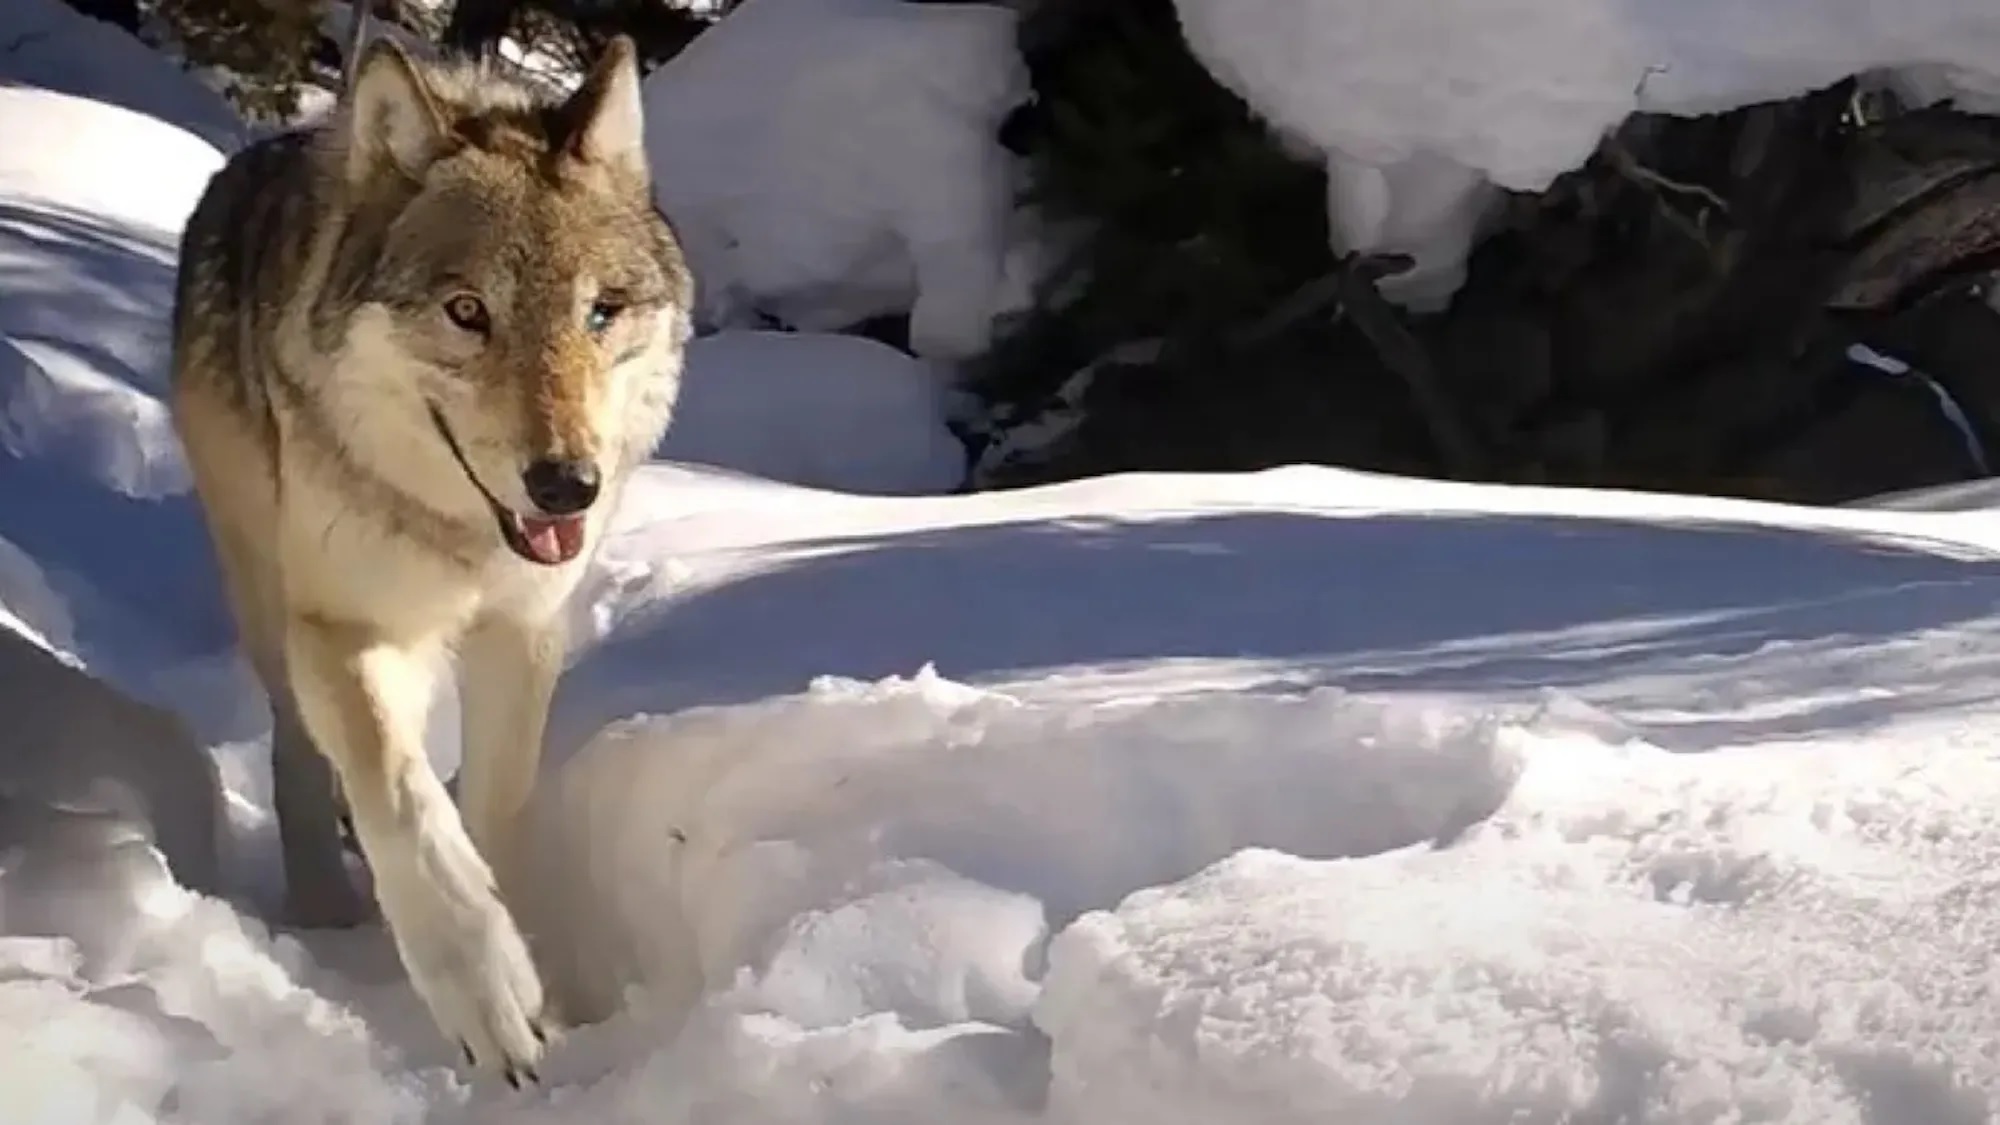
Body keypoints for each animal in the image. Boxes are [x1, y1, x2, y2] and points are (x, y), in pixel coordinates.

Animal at [168, 30, 696, 1072]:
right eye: (466, 311)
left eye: (602, 312)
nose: (567, 485)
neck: (463, 537)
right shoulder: (342, 624)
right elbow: (404, 798)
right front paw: (485, 992)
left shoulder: (522, 632)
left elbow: (492, 807)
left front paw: (540, 985)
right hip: (269, 594)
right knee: (303, 751)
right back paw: (325, 904)